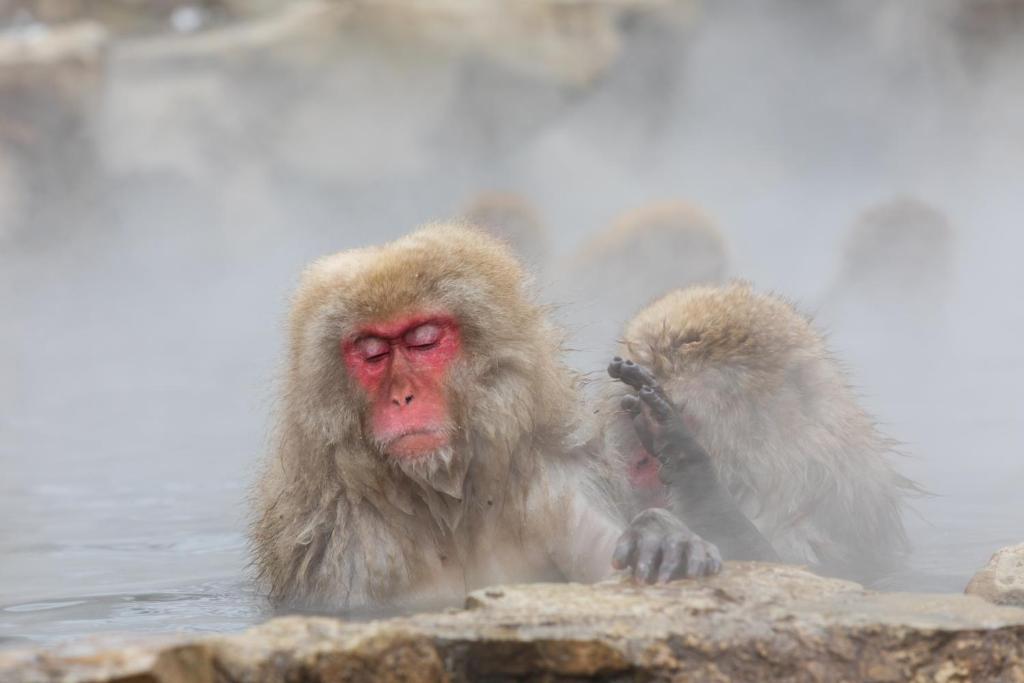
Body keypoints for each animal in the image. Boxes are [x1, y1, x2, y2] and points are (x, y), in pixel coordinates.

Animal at [250, 225, 724, 614]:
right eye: (372, 353)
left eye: (424, 341)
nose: (402, 397)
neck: (448, 504)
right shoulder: (344, 545)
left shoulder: (557, 485)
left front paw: (660, 535)